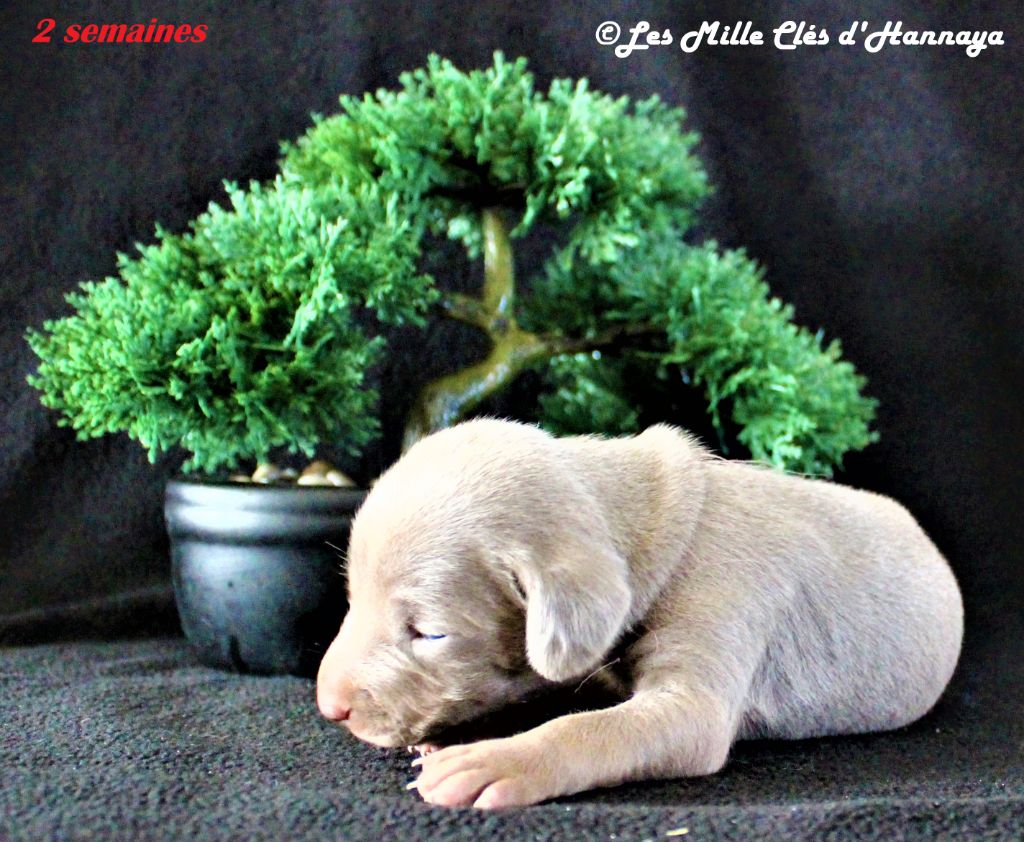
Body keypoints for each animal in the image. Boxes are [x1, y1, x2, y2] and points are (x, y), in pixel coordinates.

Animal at [316, 419, 963, 809]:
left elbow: (592, 726)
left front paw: (494, 759)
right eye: (353, 599)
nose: (328, 707)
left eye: (429, 633)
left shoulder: (715, 622)